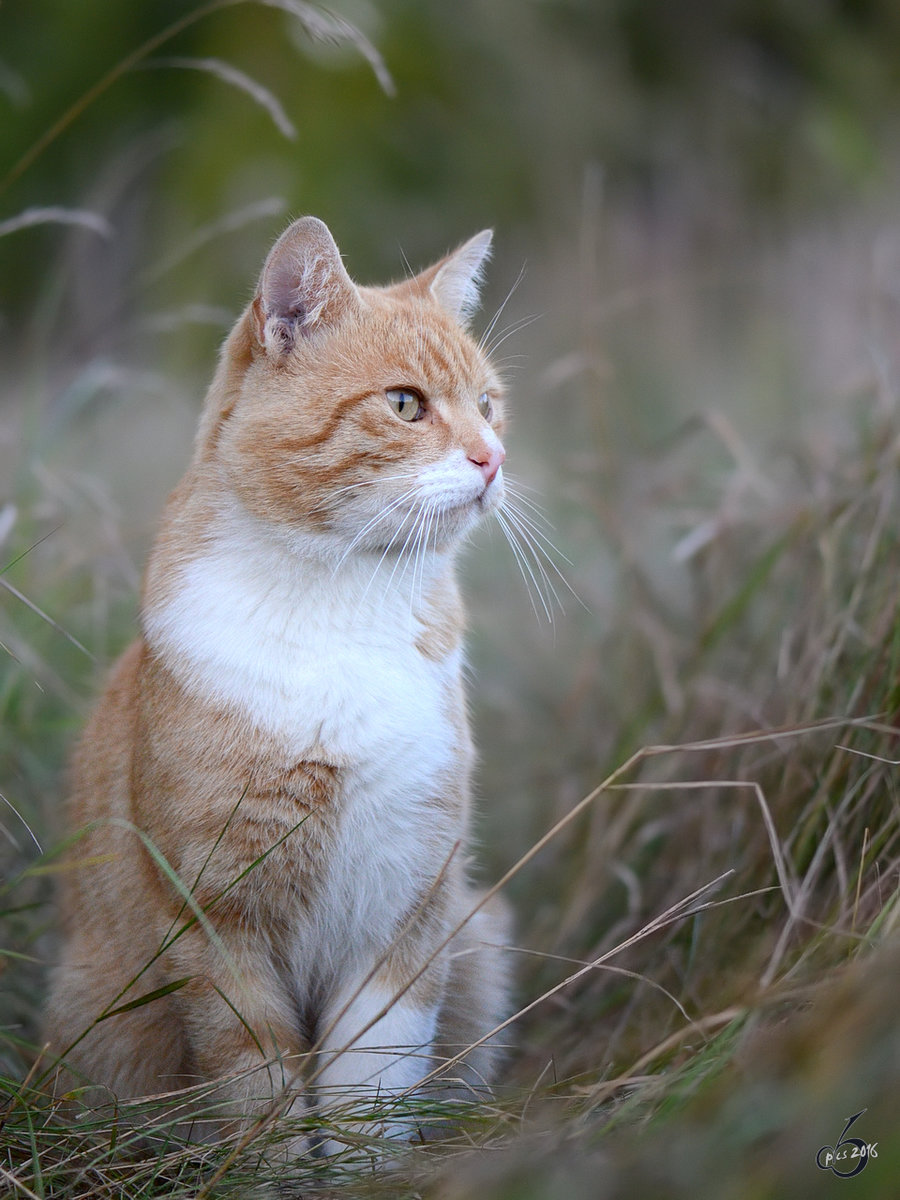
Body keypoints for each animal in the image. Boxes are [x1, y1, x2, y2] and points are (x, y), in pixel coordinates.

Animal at [45, 216, 513, 1152]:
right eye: (405, 404)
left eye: (487, 405)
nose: (492, 459)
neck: (342, 605)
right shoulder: (214, 922)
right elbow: (256, 1084)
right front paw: (281, 1169)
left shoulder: (408, 910)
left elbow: (373, 1088)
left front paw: (371, 1170)